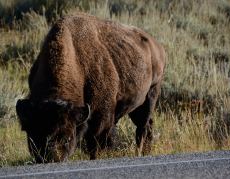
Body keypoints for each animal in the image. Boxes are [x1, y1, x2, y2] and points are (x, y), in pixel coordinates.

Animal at [15, 12, 165, 162]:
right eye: (33, 135)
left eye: (67, 138)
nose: (51, 158)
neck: (77, 63)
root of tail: (157, 46)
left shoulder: (101, 118)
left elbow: (96, 144)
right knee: (148, 125)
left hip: (151, 95)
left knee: (142, 128)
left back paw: (139, 153)